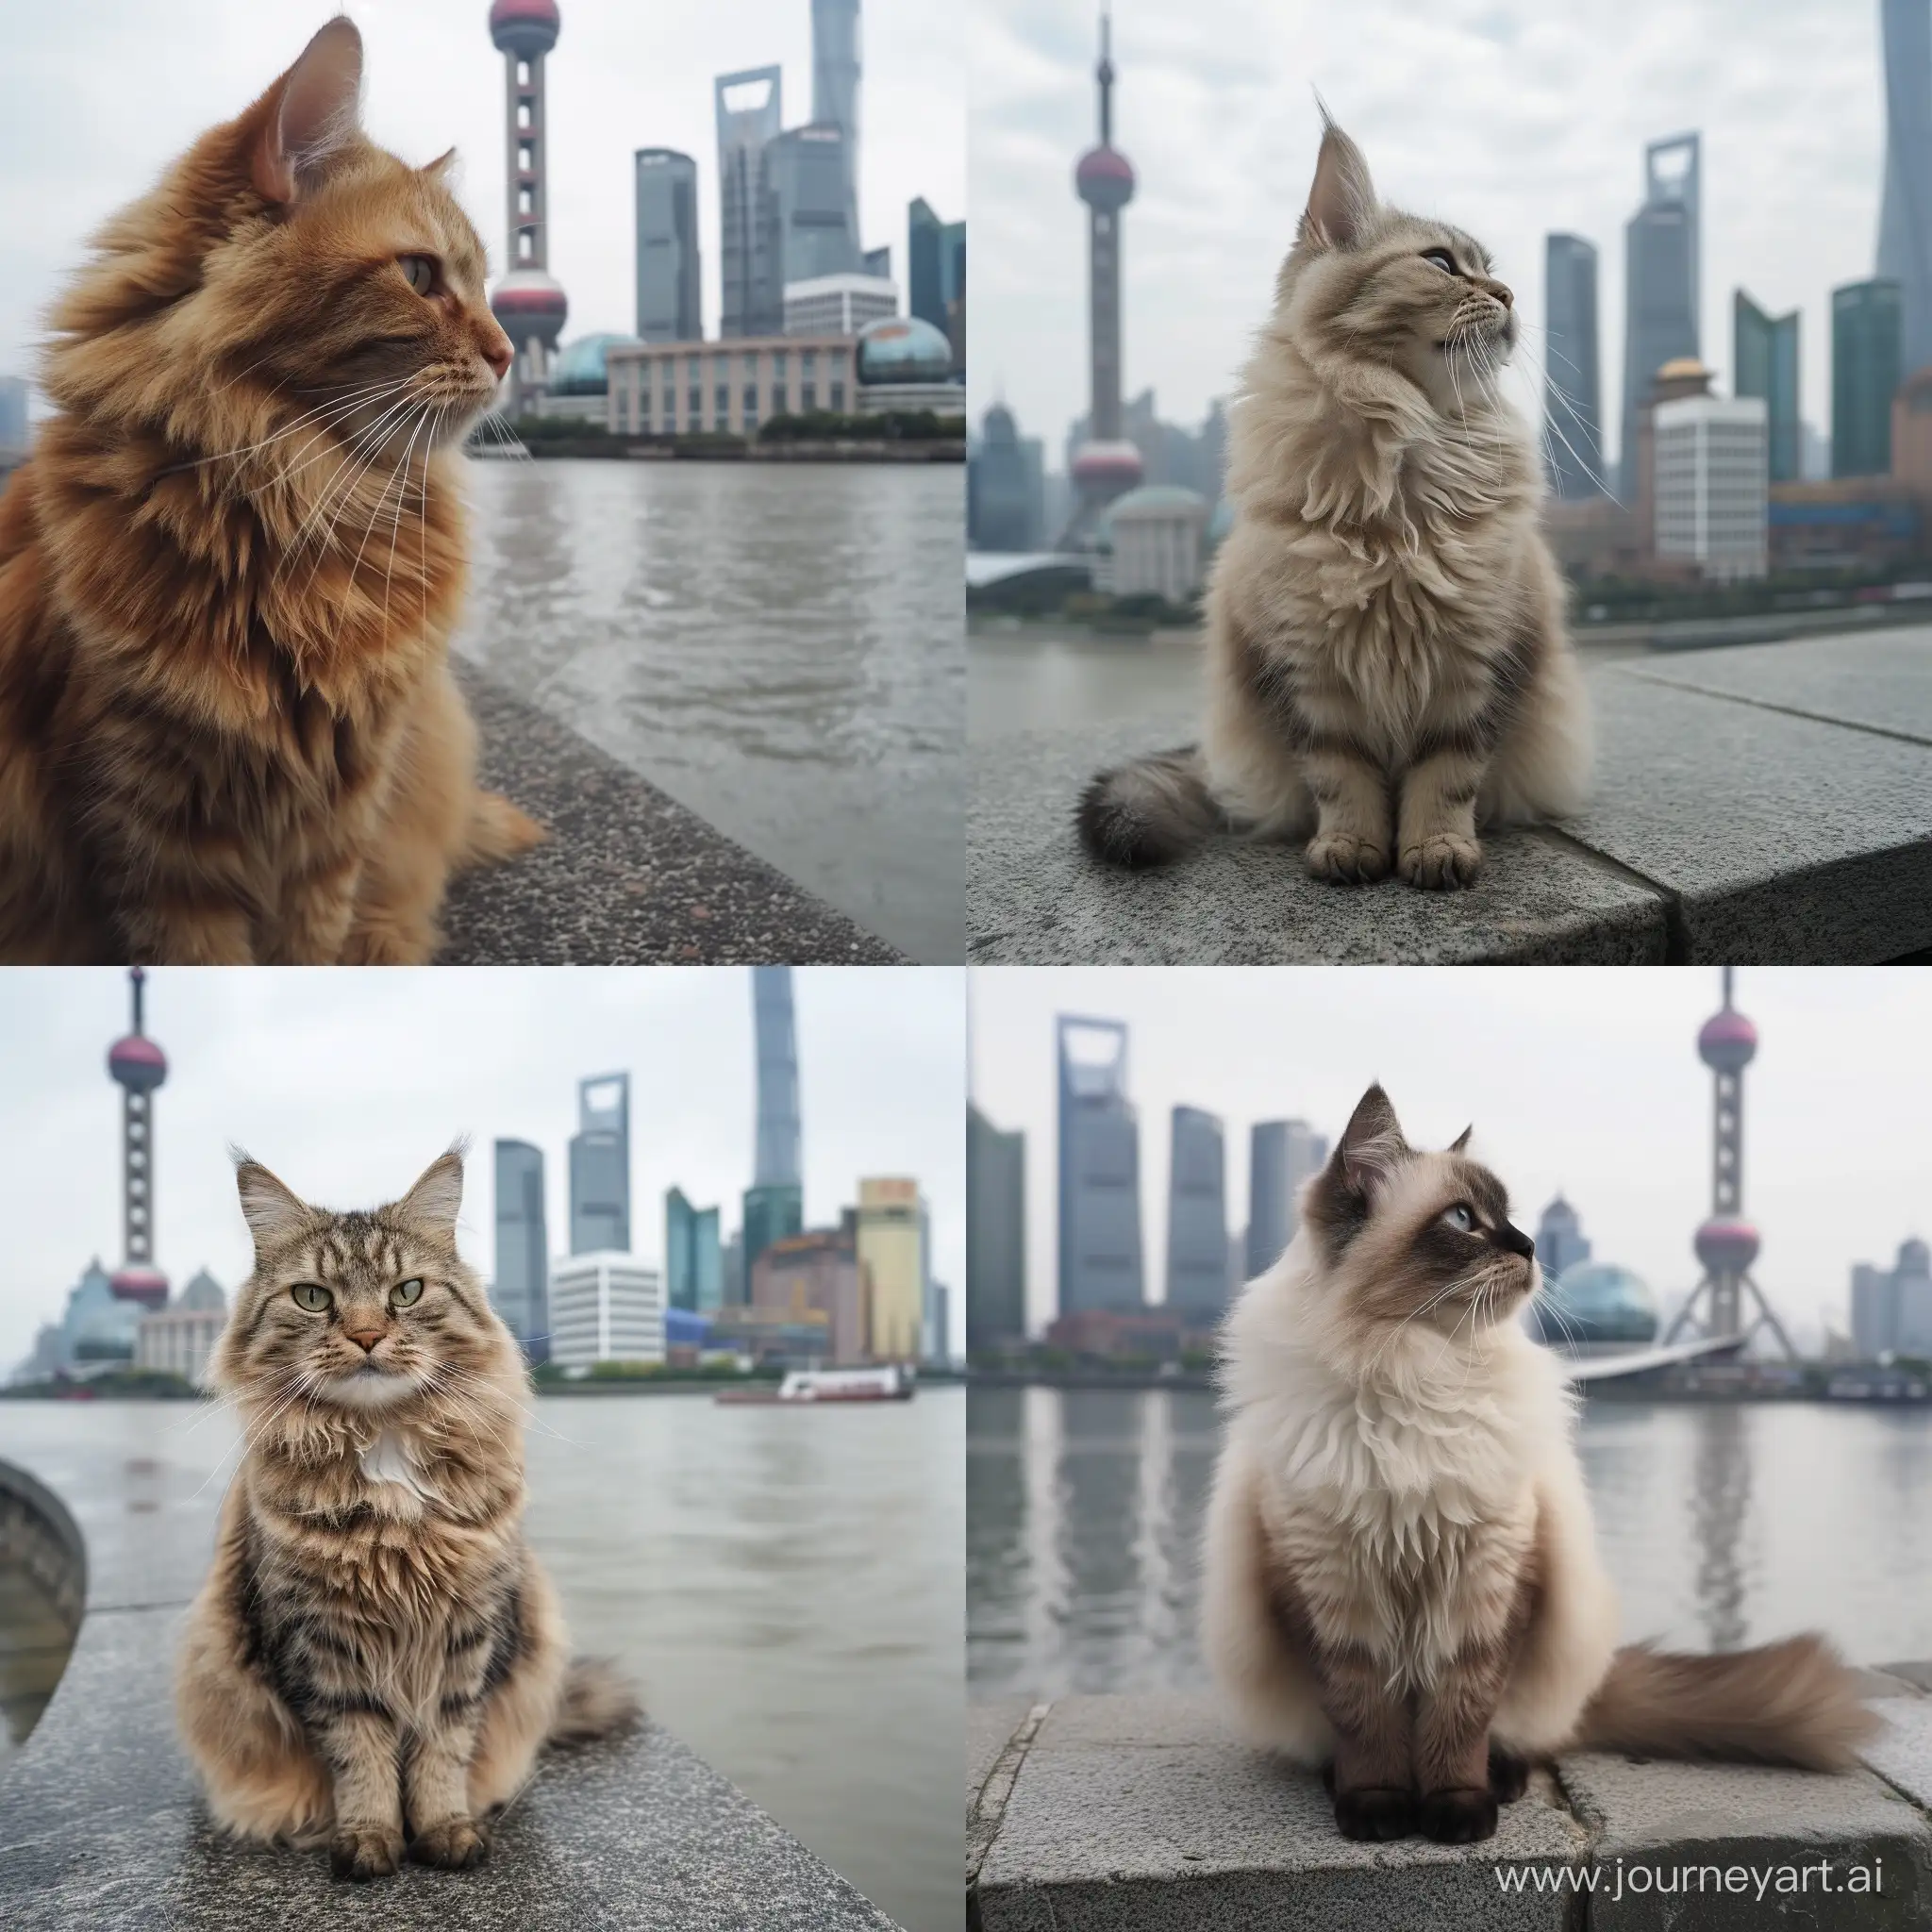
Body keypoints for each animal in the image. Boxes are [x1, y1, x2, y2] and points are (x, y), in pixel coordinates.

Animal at [2, 8, 544, 958]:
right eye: (420, 276)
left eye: (487, 286)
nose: (509, 352)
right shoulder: (153, 839)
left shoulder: (339, 819)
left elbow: (313, 946)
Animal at [172, 1143, 625, 1870]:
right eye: (313, 1298)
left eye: (405, 1292)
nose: (365, 1336)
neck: (381, 1444)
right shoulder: (322, 1645)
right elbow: (361, 1754)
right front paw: (368, 1839)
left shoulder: (467, 1634)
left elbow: (443, 1747)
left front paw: (445, 1829)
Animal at [1081, 125, 1591, 892]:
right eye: (1441, 264)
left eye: (1491, 272)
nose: (1508, 295)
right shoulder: (1308, 675)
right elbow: (1341, 779)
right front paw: (1350, 847)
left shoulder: (1477, 664)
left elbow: (1446, 778)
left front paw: (1436, 849)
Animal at [1197, 1081, 1877, 1846]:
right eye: (1463, 1220)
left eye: (1510, 1217)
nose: (1528, 1245)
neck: (1417, 1373)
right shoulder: (1332, 1593)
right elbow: (1366, 1726)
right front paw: (1377, 1810)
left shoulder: (1488, 1582)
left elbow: (1459, 1722)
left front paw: (1458, 1815)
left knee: (1520, 1738)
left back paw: (1506, 1781)